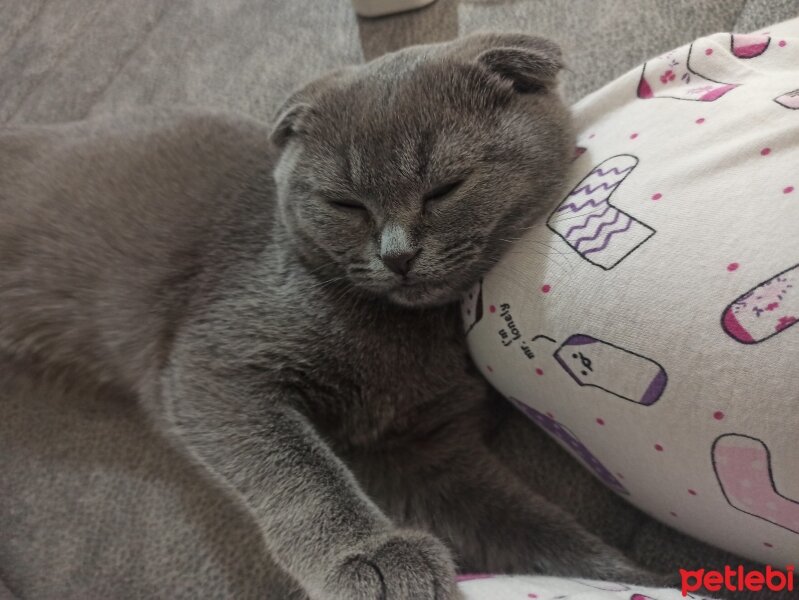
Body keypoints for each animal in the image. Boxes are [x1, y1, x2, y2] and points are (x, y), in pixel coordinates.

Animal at [0, 34, 664, 600]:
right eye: (345, 203)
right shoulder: (215, 365)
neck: (404, 340)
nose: (397, 256)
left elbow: (535, 527)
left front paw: (636, 576)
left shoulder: (425, 454)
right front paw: (370, 558)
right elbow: (299, 471)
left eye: (445, 187)